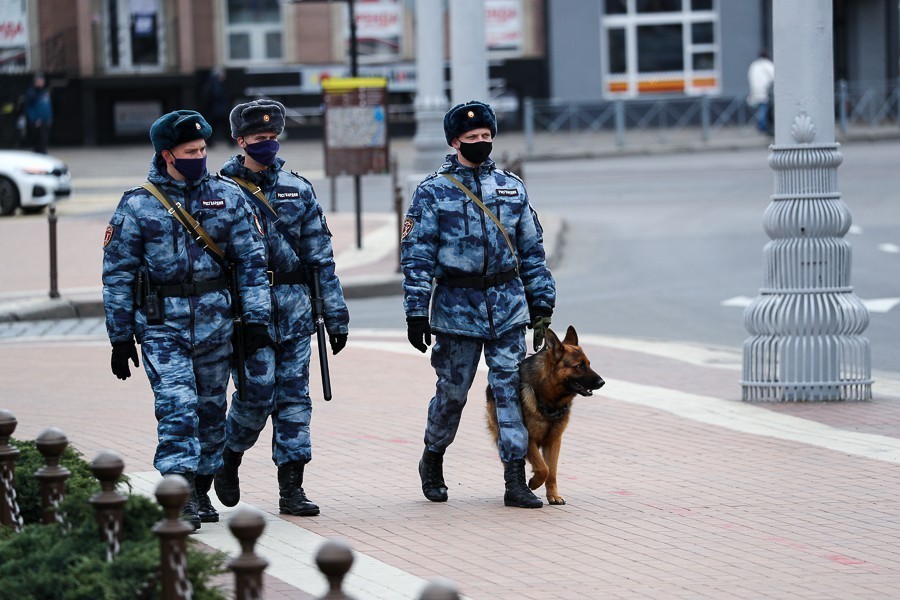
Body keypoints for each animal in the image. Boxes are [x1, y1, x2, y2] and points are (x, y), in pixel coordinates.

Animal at [486, 326, 604, 504]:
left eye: (589, 364)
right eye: (579, 366)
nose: (602, 382)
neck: (549, 399)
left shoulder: (554, 441)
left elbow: (552, 471)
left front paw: (553, 495)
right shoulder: (529, 440)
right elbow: (543, 468)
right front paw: (534, 483)